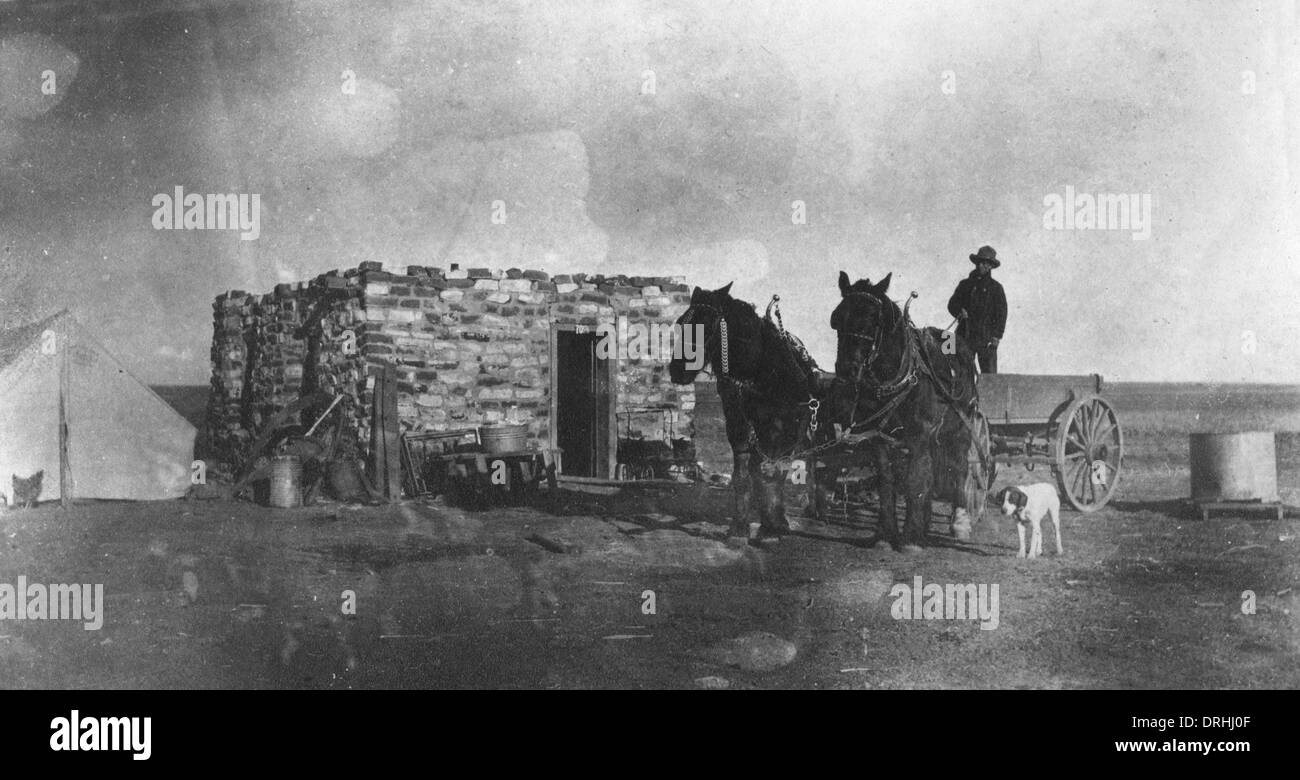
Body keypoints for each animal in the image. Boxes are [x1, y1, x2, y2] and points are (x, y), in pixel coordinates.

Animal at [670, 283, 821, 538]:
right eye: (681, 322)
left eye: (707, 324)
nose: (677, 370)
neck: (759, 370)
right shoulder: (737, 423)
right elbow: (743, 474)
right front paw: (740, 526)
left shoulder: (784, 428)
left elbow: (775, 473)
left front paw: (773, 525)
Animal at [826, 271, 977, 551]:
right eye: (838, 317)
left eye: (874, 319)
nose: (847, 369)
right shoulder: (879, 437)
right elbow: (887, 481)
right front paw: (886, 535)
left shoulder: (920, 435)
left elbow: (914, 480)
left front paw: (909, 539)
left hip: (961, 428)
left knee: (959, 467)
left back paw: (960, 522)